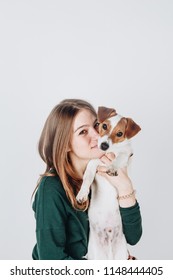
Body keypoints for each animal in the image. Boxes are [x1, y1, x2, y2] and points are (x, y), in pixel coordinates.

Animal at [76, 106, 141, 260]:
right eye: (104, 126)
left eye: (120, 133)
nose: (104, 145)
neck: (111, 151)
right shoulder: (93, 162)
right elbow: (87, 177)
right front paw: (82, 193)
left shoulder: (126, 155)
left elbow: (120, 157)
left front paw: (112, 167)